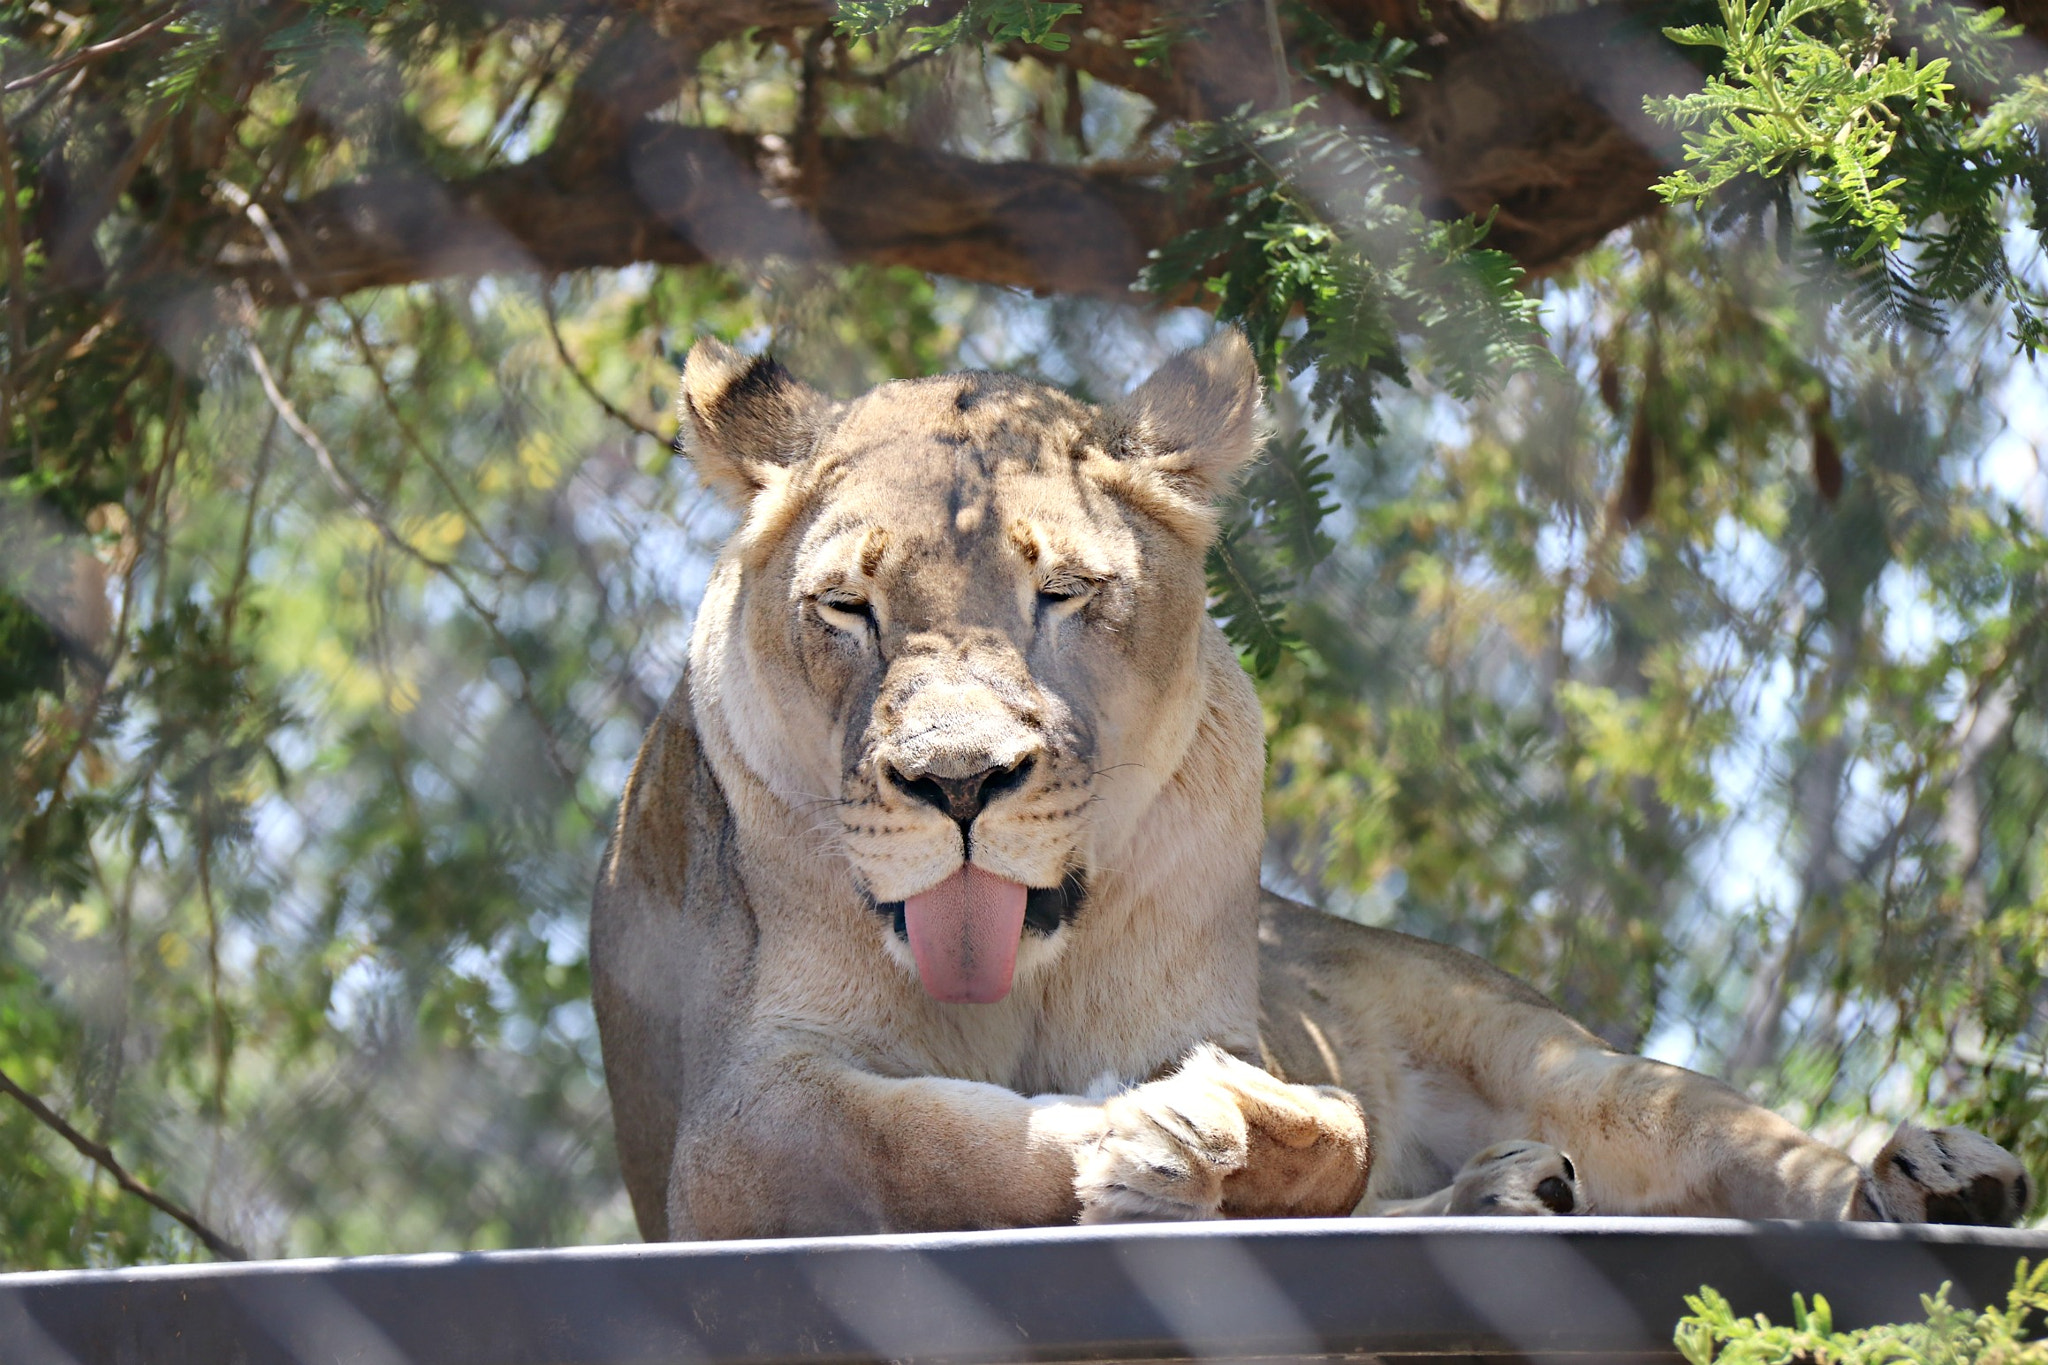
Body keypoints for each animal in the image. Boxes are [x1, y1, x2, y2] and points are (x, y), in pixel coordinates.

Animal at [591, 332, 2030, 1240]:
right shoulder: (739, 1123)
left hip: (1548, 1050)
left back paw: (1932, 1172)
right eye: (847, 607)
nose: (957, 783)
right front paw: (1172, 1137)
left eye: (1062, 594)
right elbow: (929, 1143)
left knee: (1719, 1137)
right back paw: (1494, 1191)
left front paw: (1221, 1129)